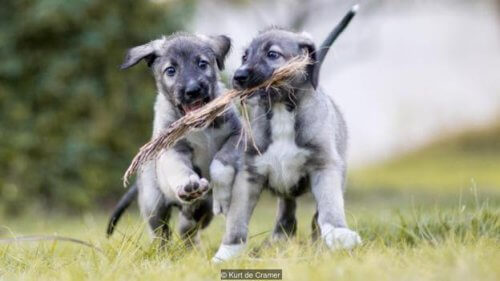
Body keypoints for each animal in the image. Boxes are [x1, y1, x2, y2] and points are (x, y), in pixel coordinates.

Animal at [107, 34, 242, 245]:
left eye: (202, 64)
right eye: (171, 70)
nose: (193, 90)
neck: (201, 128)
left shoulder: (236, 133)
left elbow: (225, 154)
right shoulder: (172, 150)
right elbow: (179, 169)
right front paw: (188, 184)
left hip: (205, 209)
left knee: (190, 226)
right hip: (153, 203)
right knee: (161, 231)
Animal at [213, 6, 362, 260]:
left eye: (272, 54)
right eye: (244, 57)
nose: (237, 77)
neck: (281, 108)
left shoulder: (324, 166)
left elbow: (329, 207)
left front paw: (338, 233)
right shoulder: (249, 174)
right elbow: (237, 219)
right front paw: (226, 253)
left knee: (313, 217)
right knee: (287, 213)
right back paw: (278, 240)